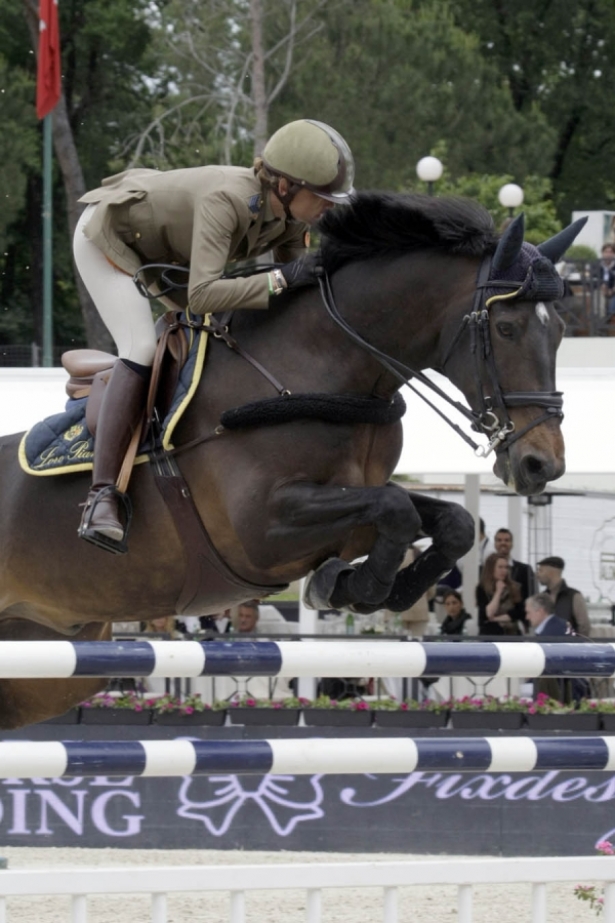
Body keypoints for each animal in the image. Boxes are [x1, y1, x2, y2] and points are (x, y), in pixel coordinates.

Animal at [0, 195, 584, 728]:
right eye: (506, 328)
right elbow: (394, 509)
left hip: (50, 662)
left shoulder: (352, 495)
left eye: (559, 330)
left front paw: (368, 585)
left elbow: (450, 521)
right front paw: (350, 585)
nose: (542, 465)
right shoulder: (259, 530)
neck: (319, 367)